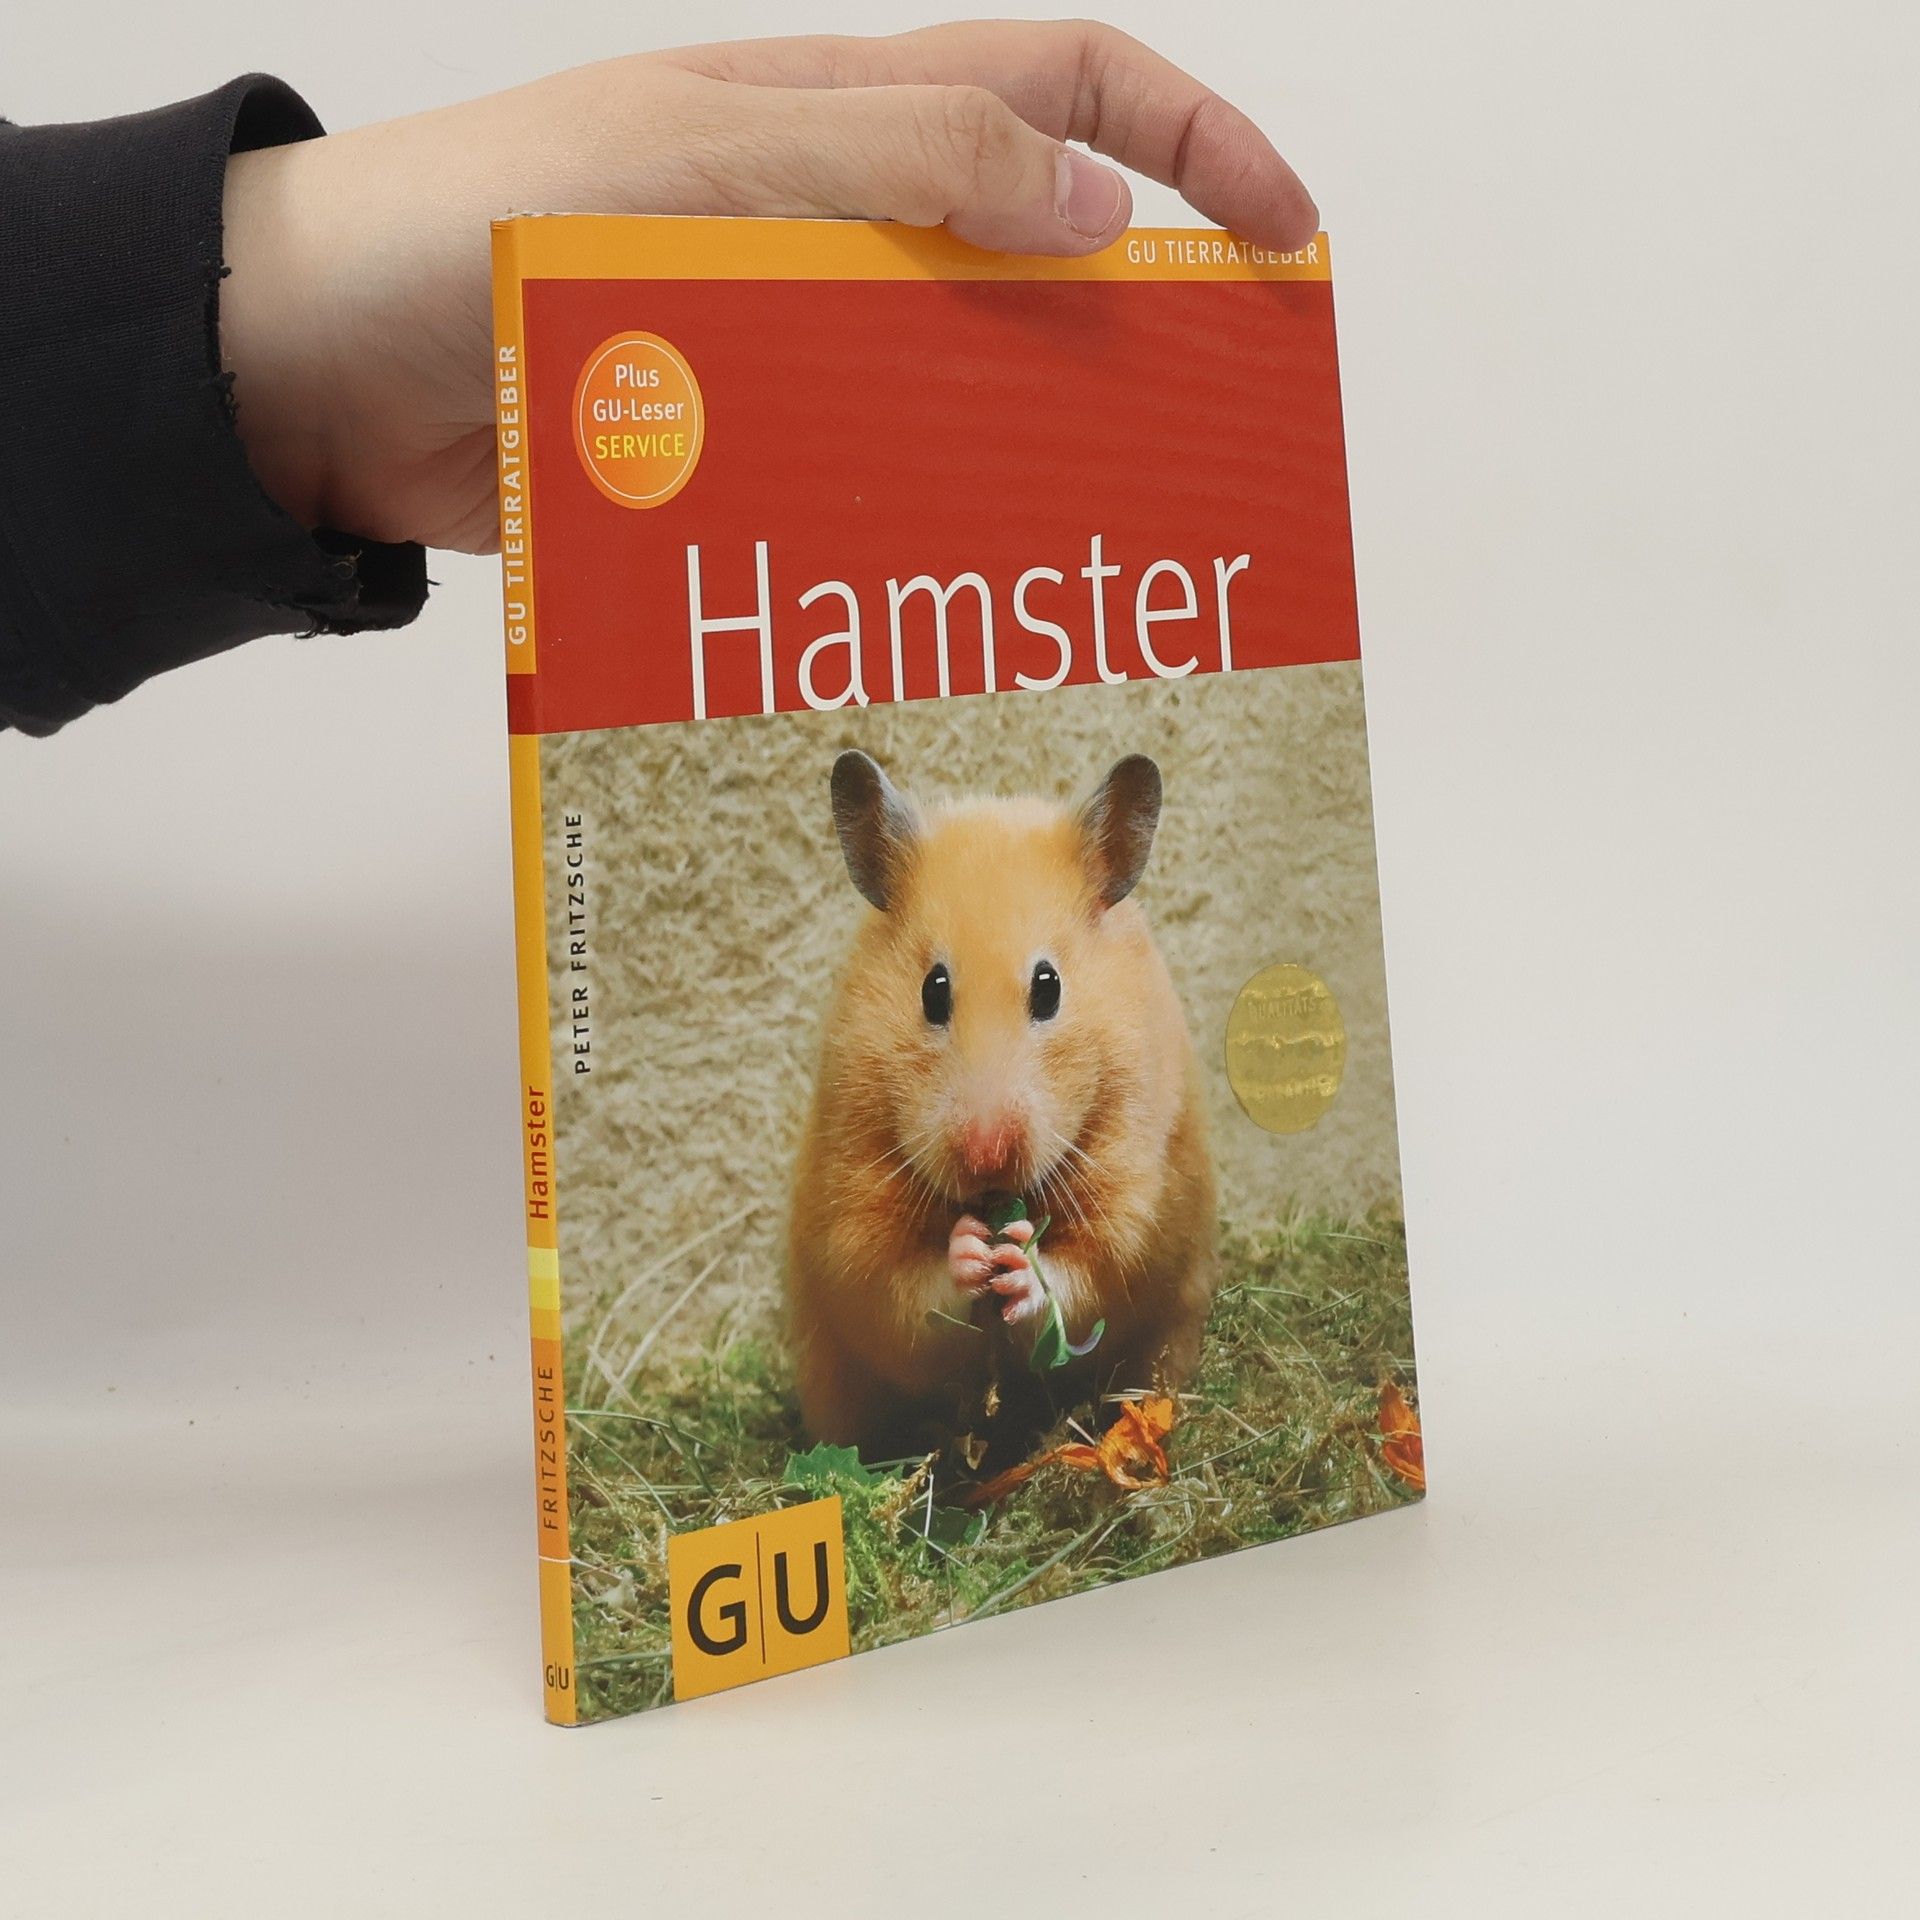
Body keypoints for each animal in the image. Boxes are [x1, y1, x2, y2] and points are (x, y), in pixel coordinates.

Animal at [787, 748, 1217, 1461]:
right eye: (933, 990)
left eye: (1049, 986)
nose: (986, 1155)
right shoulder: (851, 1218)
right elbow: (906, 1291)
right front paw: (970, 1250)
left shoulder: (1137, 1201)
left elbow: (1084, 1275)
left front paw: (1016, 1259)